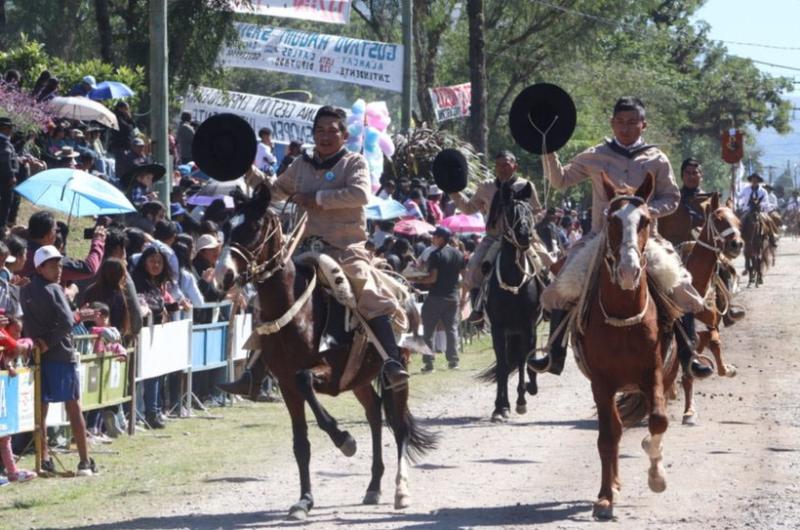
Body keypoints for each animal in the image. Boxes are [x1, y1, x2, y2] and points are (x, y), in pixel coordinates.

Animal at [222, 184, 434, 516]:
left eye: (253, 228)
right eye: (226, 227)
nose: (223, 275)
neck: (299, 311)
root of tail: (404, 289)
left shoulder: (328, 374)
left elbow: (306, 380)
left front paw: (344, 439)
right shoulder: (286, 385)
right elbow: (301, 443)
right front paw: (304, 500)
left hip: (396, 374)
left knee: (398, 425)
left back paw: (400, 490)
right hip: (360, 379)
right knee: (375, 414)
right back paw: (373, 486)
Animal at [478, 182, 540, 420]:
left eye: (529, 211)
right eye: (510, 212)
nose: (524, 236)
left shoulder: (527, 325)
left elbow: (524, 360)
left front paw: (522, 398)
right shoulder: (498, 328)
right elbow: (503, 365)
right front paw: (500, 406)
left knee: (525, 358)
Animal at [680, 192, 748, 422]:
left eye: (738, 221)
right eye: (718, 220)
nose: (737, 244)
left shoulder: (711, 324)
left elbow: (715, 341)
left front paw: (727, 368)